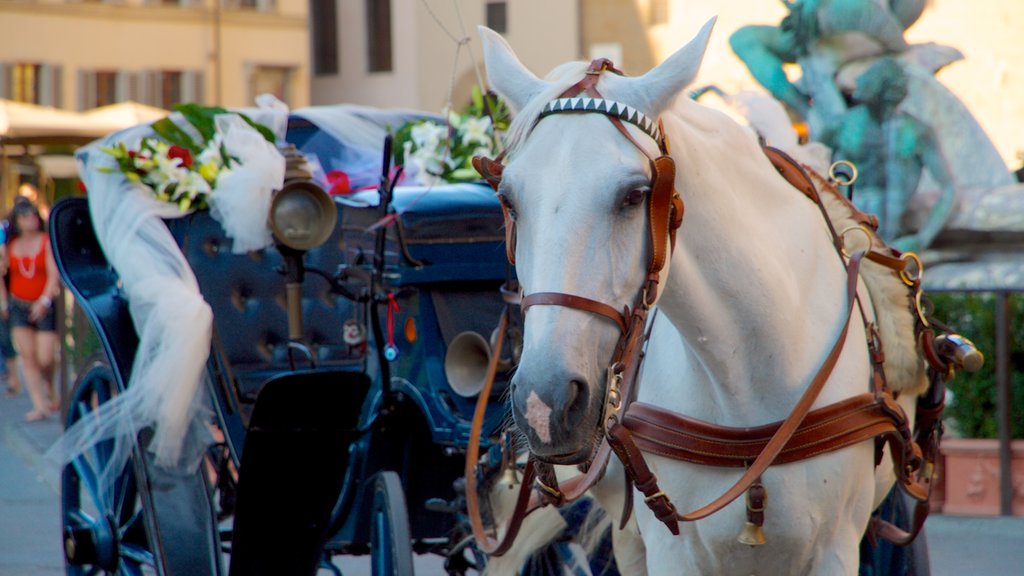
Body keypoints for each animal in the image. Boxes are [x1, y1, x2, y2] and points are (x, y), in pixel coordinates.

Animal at [479, 17, 929, 573]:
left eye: (634, 195)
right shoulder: (671, 550)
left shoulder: (835, 547)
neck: (748, 373)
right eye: (509, 199)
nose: (545, 404)